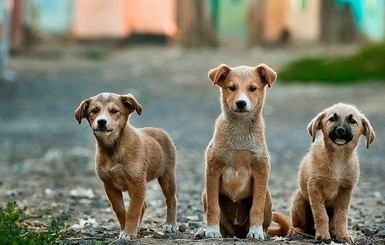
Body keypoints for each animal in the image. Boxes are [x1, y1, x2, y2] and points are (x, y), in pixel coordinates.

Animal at [74, 92, 178, 243]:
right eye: (94, 110)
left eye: (114, 111)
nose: (101, 122)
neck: (113, 148)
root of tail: (160, 131)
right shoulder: (109, 185)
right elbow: (121, 210)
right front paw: (126, 230)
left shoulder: (137, 183)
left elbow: (133, 211)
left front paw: (128, 232)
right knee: (144, 205)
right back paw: (138, 228)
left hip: (167, 176)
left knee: (171, 200)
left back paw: (170, 224)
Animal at [196, 62, 290, 239]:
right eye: (232, 87)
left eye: (252, 88)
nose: (241, 103)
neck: (239, 128)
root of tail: (237, 232)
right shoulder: (213, 169)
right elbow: (213, 207)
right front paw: (211, 230)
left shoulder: (261, 171)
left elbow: (256, 208)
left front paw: (256, 231)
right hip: (205, 193)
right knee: (223, 225)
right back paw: (209, 230)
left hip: (268, 196)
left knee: (264, 220)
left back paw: (261, 231)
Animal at [290, 102, 374, 243]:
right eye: (332, 119)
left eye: (352, 121)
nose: (340, 130)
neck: (338, 158)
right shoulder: (314, 187)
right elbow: (321, 214)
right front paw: (323, 235)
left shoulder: (346, 191)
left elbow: (342, 216)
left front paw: (343, 235)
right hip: (299, 199)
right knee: (299, 224)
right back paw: (298, 231)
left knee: (333, 222)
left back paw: (333, 232)